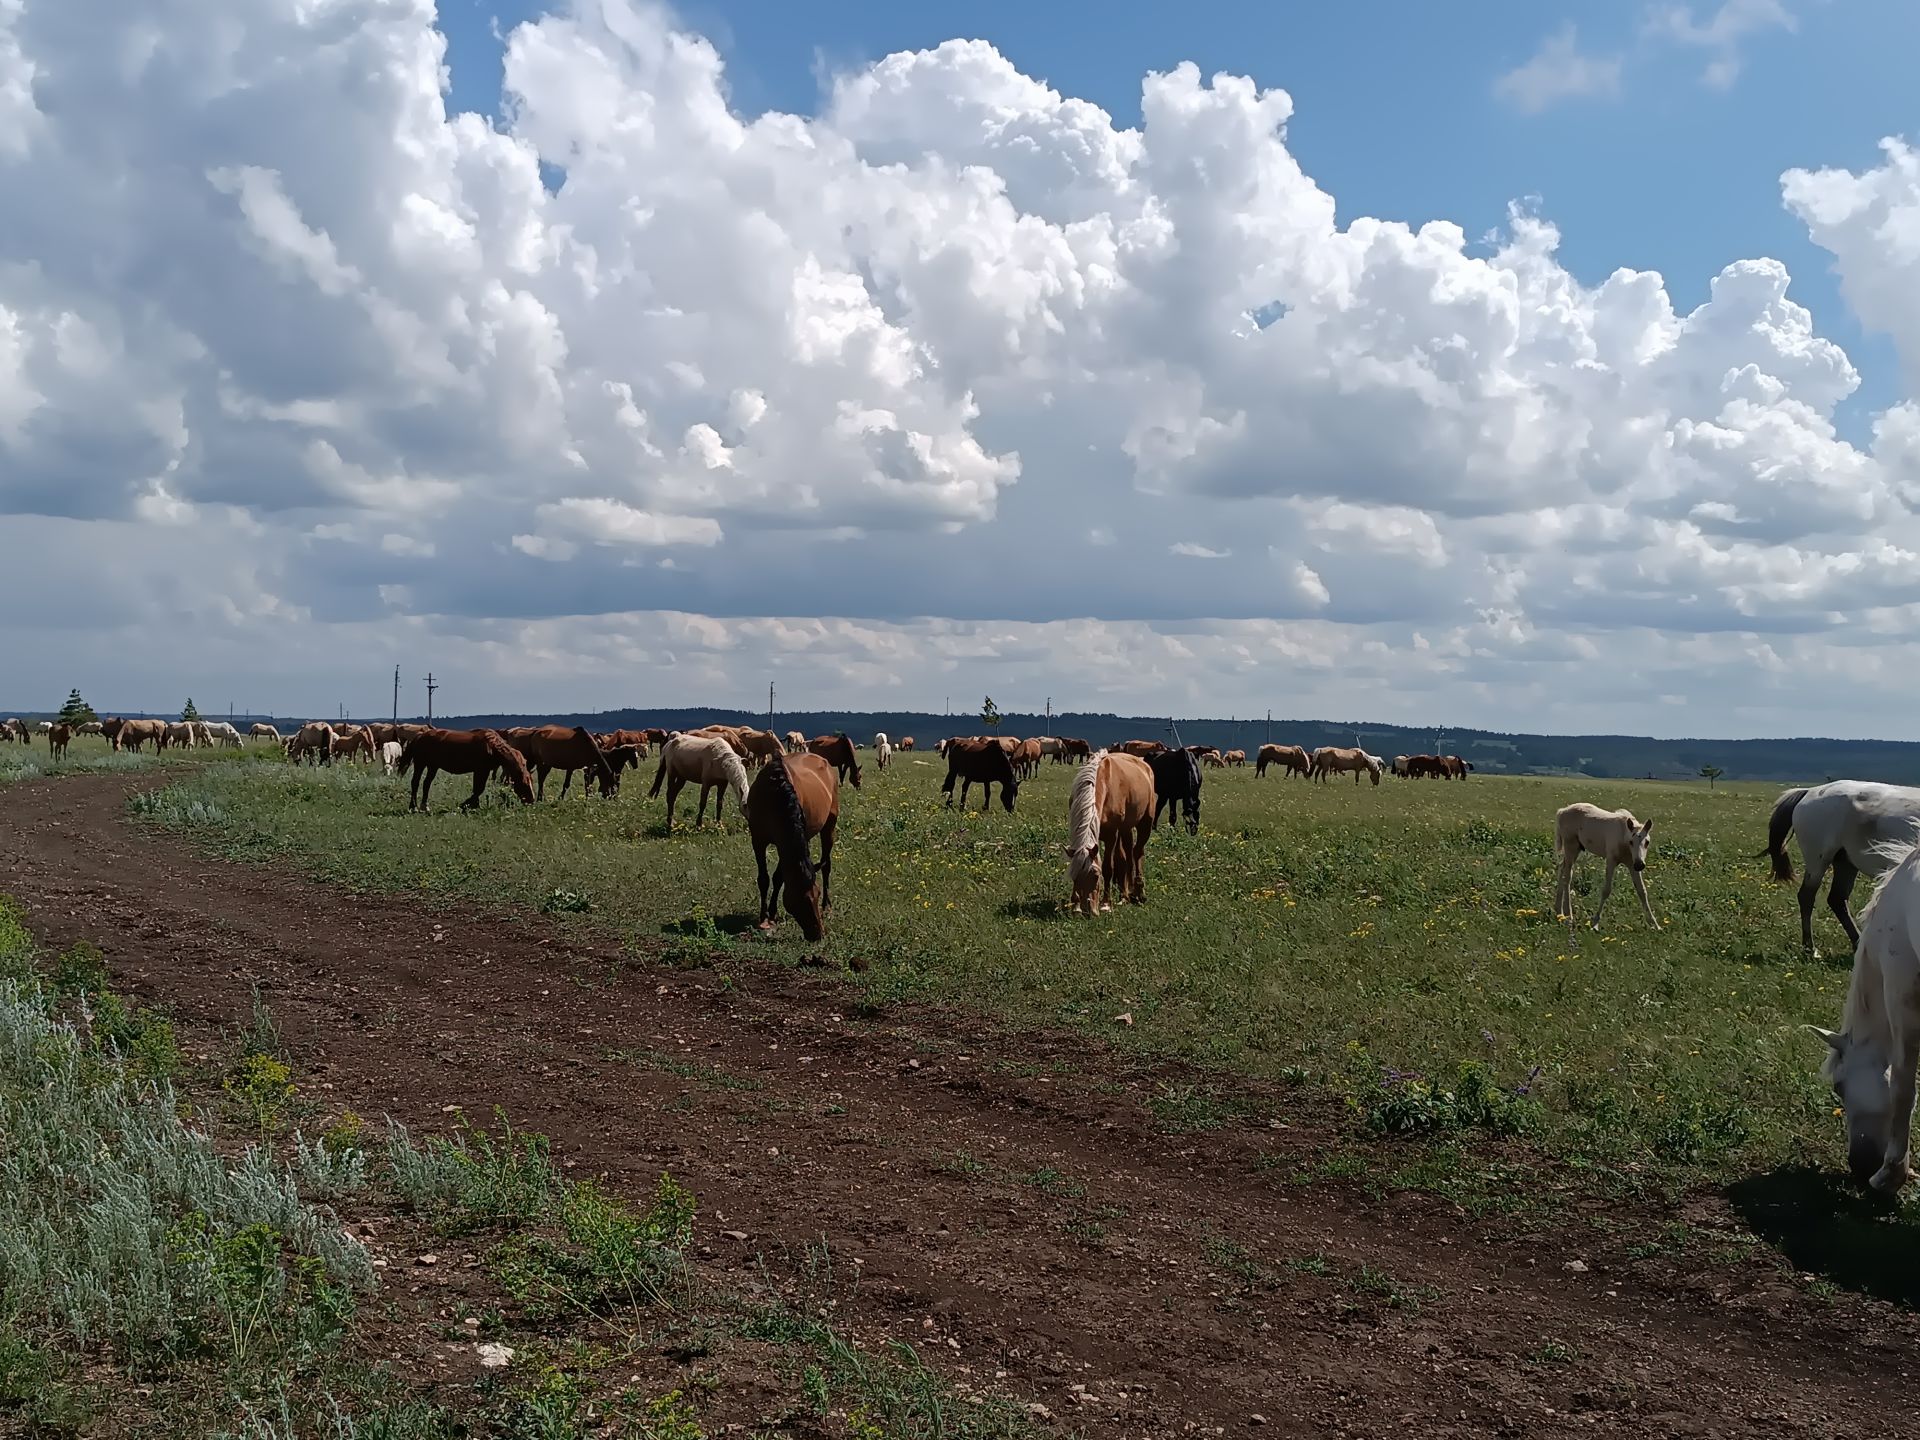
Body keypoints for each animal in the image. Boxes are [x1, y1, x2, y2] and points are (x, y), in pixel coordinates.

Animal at [395, 725, 533, 817]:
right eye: (525, 784)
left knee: (426, 784)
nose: (531, 801)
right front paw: (467, 805)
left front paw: (472, 805)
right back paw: (413, 807)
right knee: (415, 783)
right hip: (420, 764)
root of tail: (419, 736)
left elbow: (477, 789)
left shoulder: (483, 770)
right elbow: (478, 789)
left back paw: (425, 807)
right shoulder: (480, 770)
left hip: (433, 766)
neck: (491, 747)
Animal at [741, 756, 840, 948]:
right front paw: (764, 917)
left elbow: (778, 878)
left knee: (826, 865)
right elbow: (764, 879)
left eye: (817, 894)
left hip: (829, 826)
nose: (818, 934)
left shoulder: (786, 844)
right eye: (801, 899)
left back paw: (827, 906)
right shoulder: (758, 840)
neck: (774, 795)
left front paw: (772, 914)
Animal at [1067, 748, 1152, 917]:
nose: (1086, 910)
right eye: (1073, 875)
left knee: (1137, 852)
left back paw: (1138, 893)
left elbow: (1108, 867)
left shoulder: (1111, 835)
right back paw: (1125, 894)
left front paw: (1106, 904)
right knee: (1126, 856)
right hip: (1125, 829)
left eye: (1095, 875)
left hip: (1145, 823)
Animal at [1551, 802, 1658, 936]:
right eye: (1631, 841)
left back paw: (1559, 912)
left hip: (1576, 849)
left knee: (1562, 869)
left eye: (1647, 842)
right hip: (1571, 846)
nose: (1640, 865)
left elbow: (1642, 891)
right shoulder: (1611, 861)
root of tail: (1562, 811)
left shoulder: (1631, 865)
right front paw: (1595, 923)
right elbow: (1606, 890)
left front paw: (1655, 924)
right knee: (1567, 876)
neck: (1623, 838)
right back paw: (1569, 916)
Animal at [1758, 779, 1920, 960]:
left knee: (1837, 899)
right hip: (1818, 860)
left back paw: (1856, 944)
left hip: (1845, 863)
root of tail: (1809, 792)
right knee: (1807, 897)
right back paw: (1810, 948)